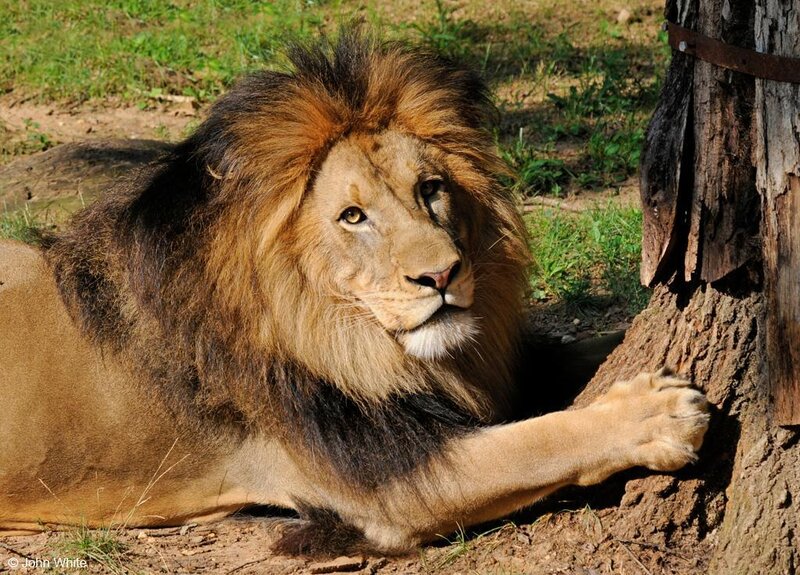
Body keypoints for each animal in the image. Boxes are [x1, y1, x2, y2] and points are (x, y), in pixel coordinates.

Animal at [0, 32, 709, 554]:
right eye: (352, 217)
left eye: (430, 189)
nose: (442, 276)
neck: (344, 333)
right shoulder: (390, 483)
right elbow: (537, 441)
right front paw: (655, 415)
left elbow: (574, 350)